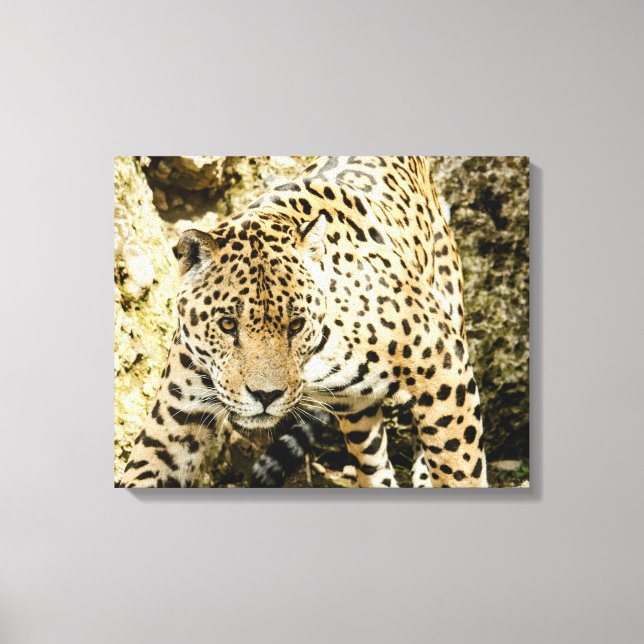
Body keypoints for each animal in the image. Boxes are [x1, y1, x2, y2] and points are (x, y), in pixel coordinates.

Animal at [120, 156, 488, 488]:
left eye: (295, 325)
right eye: (227, 324)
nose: (266, 396)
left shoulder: (445, 368)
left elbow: (459, 466)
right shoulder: (175, 420)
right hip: (356, 409)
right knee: (372, 460)